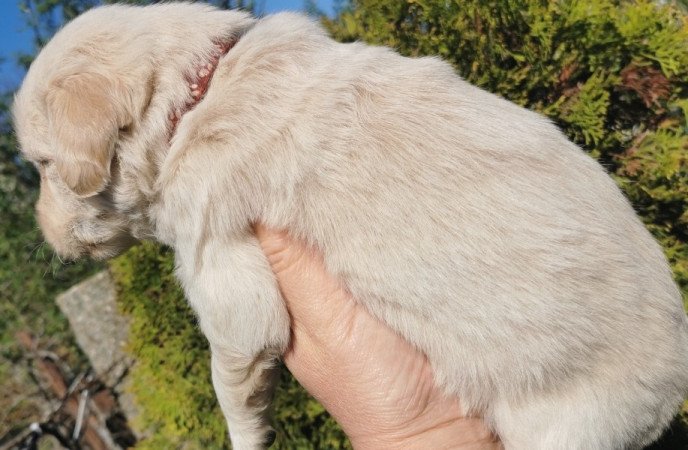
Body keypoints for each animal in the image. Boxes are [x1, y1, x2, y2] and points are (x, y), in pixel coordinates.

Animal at [9, 1, 688, 448]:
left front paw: (242, 435)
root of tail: (669, 397)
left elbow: (232, 385)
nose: (43, 236)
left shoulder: (224, 271)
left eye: (43, 166)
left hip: (570, 425)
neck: (196, 91)